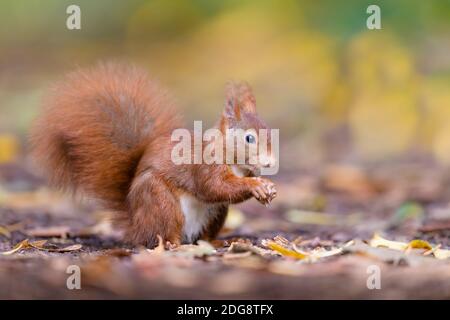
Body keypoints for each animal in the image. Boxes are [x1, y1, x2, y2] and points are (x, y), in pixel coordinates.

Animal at [29, 62, 278, 248]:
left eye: (269, 132)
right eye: (249, 138)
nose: (270, 163)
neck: (234, 161)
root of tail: (136, 226)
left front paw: (267, 186)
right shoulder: (204, 165)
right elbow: (215, 187)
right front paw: (256, 185)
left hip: (215, 214)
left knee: (202, 238)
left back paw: (223, 242)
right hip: (160, 201)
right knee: (162, 234)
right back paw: (170, 244)